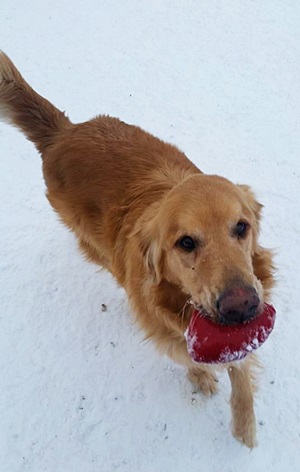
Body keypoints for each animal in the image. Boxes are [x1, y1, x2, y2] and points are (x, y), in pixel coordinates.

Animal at [0, 51, 274, 446]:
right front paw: (202, 378)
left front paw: (244, 427)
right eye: (186, 242)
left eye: (241, 227)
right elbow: (190, 357)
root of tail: (64, 133)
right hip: (91, 244)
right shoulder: (167, 328)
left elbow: (241, 375)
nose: (241, 307)